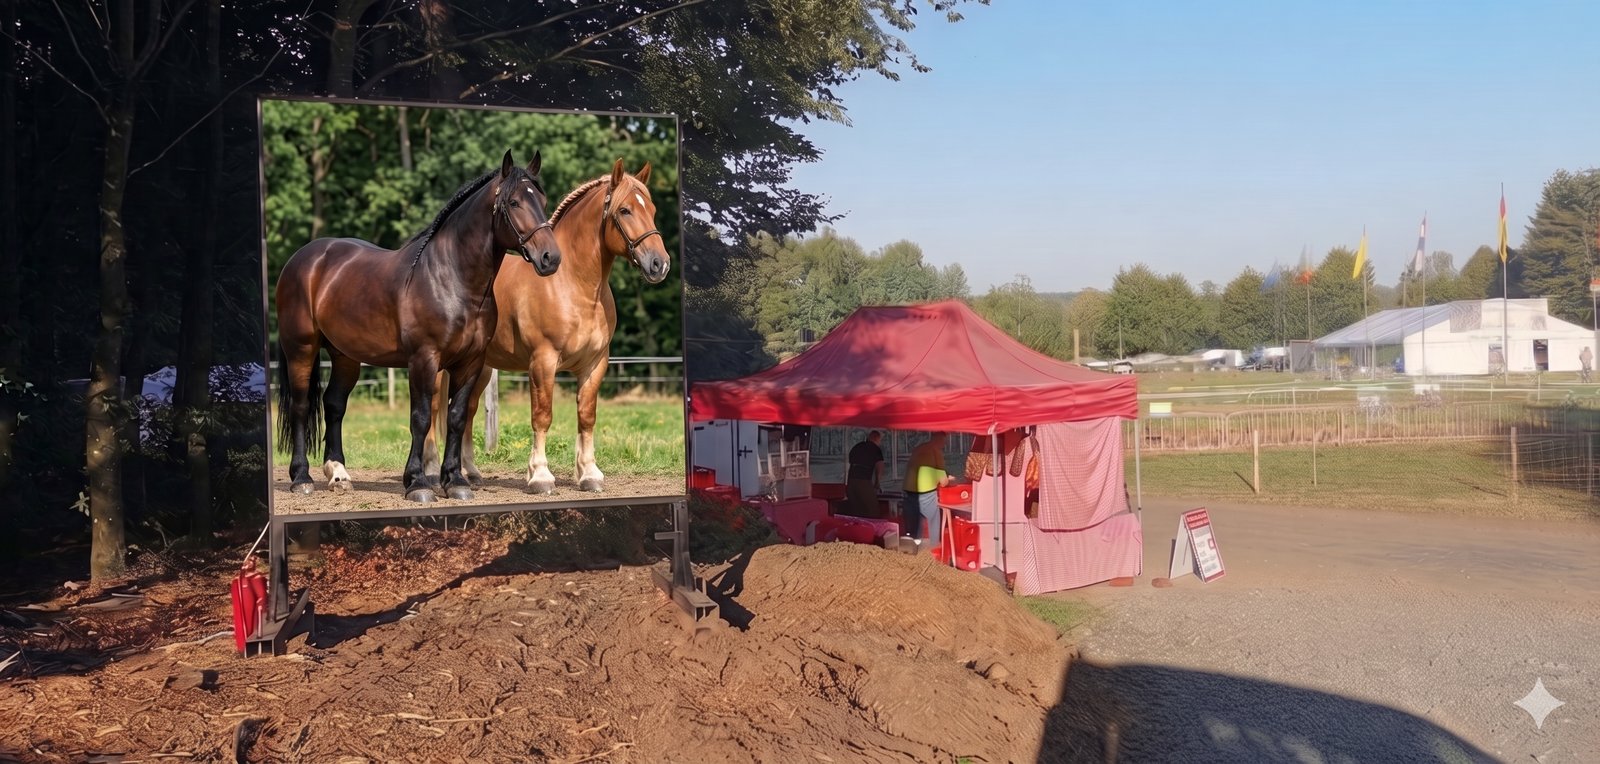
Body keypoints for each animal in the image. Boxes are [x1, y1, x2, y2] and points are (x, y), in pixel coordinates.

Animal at [274, 150, 562, 504]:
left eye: (542, 200)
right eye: (514, 202)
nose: (550, 257)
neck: (451, 279)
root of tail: (303, 258)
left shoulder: (471, 362)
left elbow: (455, 418)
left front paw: (456, 481)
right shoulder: (424, 360)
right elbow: (421, 419)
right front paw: (418, 483)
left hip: (345, 356)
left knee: (334, 405)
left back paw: (339, 474)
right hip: (301, 349)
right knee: (301, 407)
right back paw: (301, 478)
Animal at [422, 159, 670, 493]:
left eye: (652, 209)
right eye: (625, 210)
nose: (660, 263)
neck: (573, 285)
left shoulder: (595, 364)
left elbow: (586, 416)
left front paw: (589, 474)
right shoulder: (543, 361)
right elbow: (542, 416)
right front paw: (540, 475)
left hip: (480, 367)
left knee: (468, 412)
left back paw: (470, 472)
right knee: (435, 407)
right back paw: (431, 471)